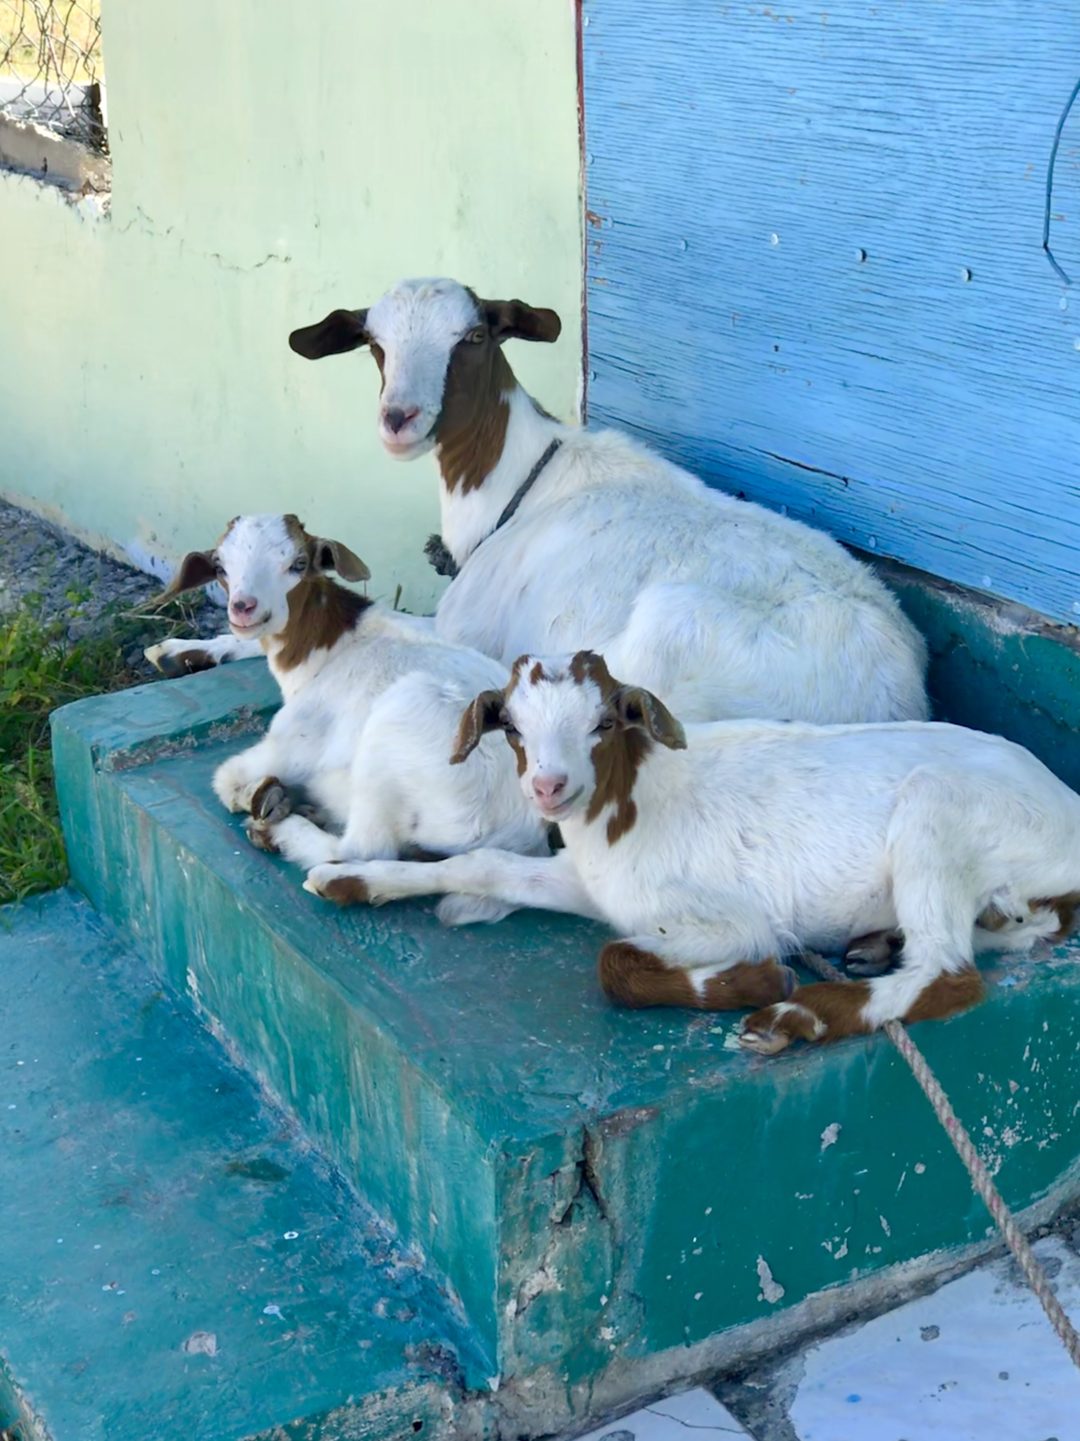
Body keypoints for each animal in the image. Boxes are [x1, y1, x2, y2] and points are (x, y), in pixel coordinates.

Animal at [282, 278, 928, 732]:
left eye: (472, 338)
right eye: (374, 343)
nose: (399, 419)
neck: (518, 484)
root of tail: (900, 698)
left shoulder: (464, 627)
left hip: (670, 636)